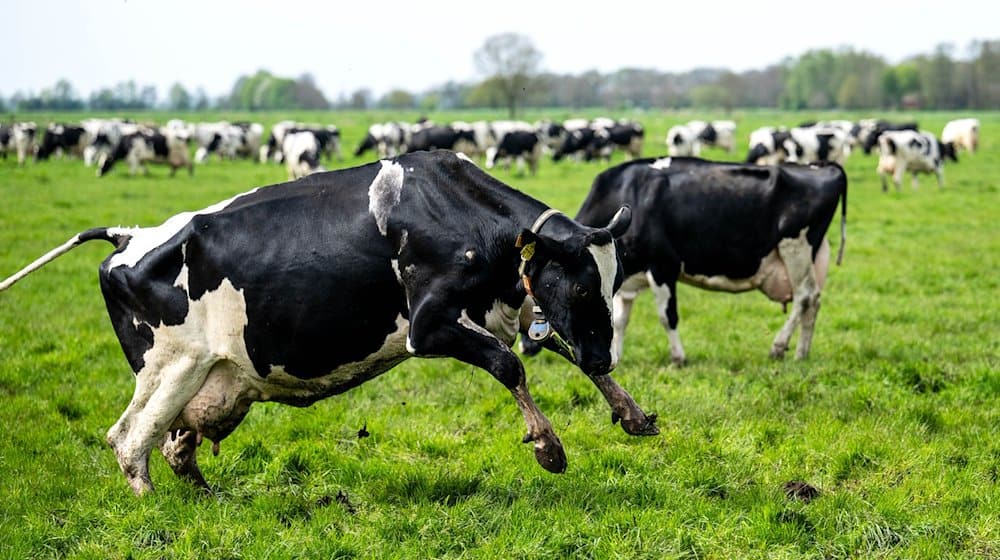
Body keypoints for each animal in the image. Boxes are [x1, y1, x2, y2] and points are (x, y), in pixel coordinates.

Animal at [0, 150, 656, 494]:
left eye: (611, 280)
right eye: (580, 283)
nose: (606, 353)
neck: (460, 213)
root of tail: (130, 235)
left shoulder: (507, 307)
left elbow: (562, 351)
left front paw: (629, 410)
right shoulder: (428, 326)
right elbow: (509, 364)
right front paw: (548, 445)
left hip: (210, 380)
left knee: (175, 446)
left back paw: (208, 500)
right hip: (171, 367)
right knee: (130, 440)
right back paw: (154, 505)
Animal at [564, 156, 844, 364]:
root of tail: (821, 165)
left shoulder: (663, 266)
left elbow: (667, 315)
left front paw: (678, 358)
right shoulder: (624, 276)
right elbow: (621, 318)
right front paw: (619, 355)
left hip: (795, 247)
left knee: (804, 297)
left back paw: (778, 346)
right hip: (812, 257)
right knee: (814, 301)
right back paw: (801, 353)